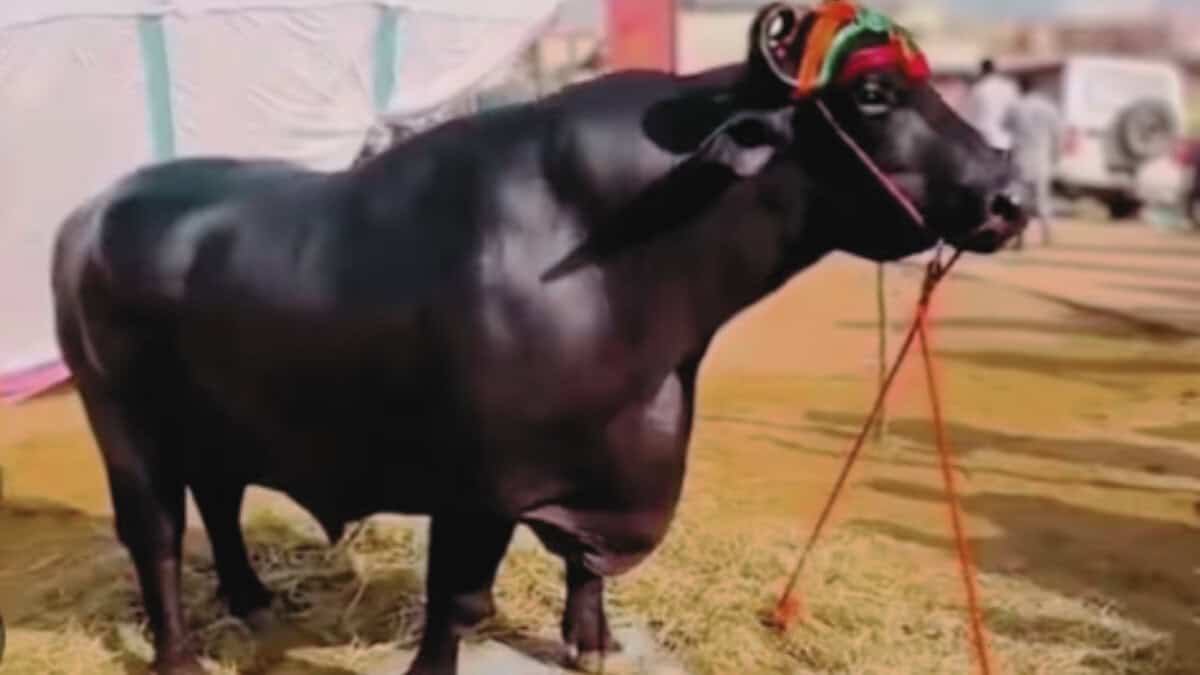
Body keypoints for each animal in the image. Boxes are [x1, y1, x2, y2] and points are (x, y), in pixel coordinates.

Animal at [51, 3, 1026, 674]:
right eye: (872, 94)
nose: (1010, 197)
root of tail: (89, 214)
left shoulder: (601, 465)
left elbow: (585, 565)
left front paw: (590, 643)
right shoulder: (477, 485)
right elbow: (458, 600)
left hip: (217, 422)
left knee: (218, 502)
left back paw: (254, 601)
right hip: (123, 427)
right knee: (156, 536)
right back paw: (180, 654)